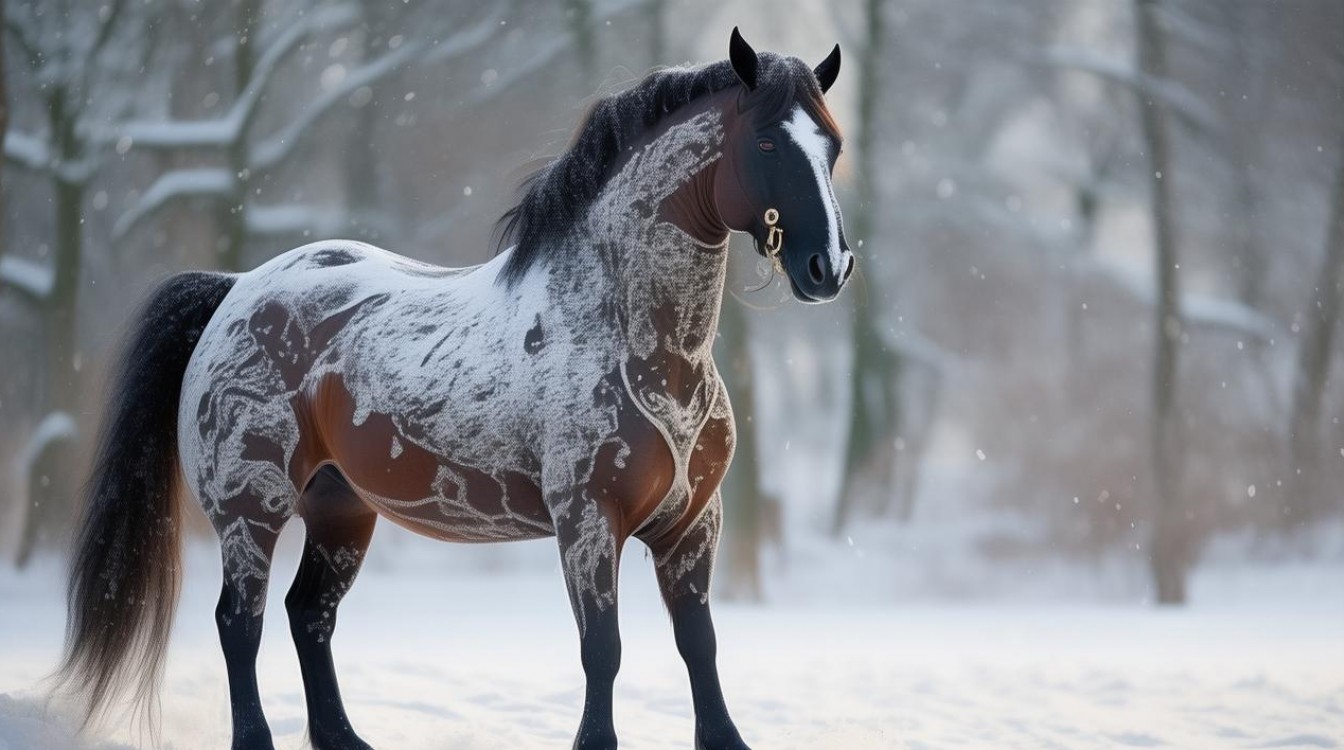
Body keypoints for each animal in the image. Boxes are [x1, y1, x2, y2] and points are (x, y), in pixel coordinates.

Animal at [58, 27, 851, 750]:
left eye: (834, 146)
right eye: (768, 144)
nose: (830, 267)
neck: (646, 353)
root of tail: (235, 291)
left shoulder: (692, 525)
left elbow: (699, 646)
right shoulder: (588, 522)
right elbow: (603, 649)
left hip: (341, 511)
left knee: (308, 616)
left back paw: (345, 739)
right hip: (252, 510)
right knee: (239, 623)